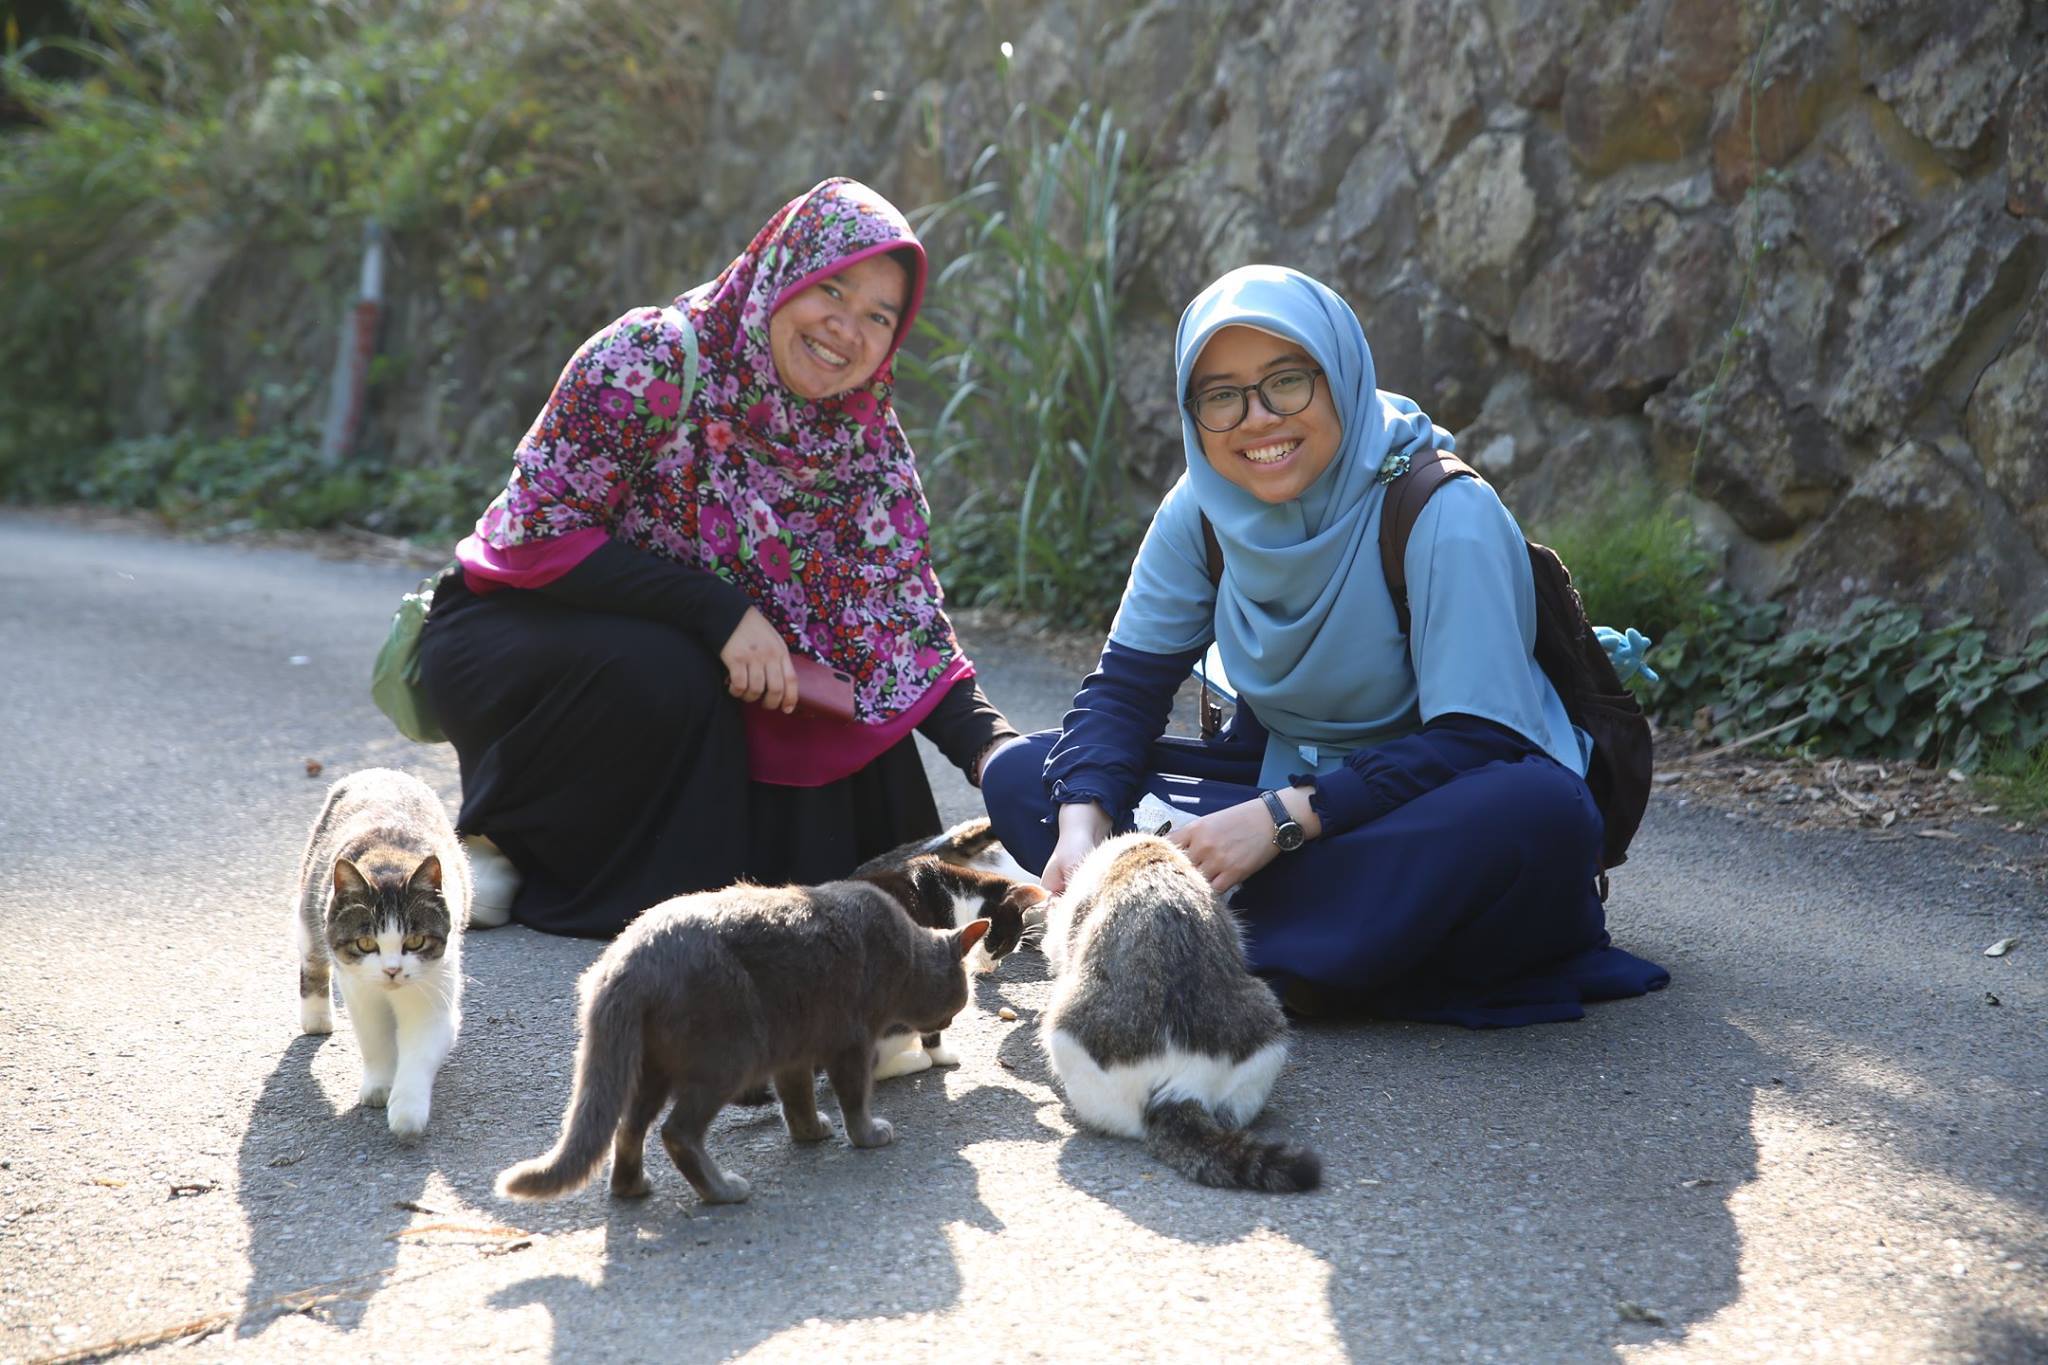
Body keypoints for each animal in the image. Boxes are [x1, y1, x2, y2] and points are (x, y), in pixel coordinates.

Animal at [292, 769, 468, 1146]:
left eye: (415, 941)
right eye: (365, 943)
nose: (391, 970)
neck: (389, 862)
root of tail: (380, 771)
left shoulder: (434, 987)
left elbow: (420, 1047)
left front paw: (406, 1112)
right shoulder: (360, 989)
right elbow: (373, 1037)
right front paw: (378, 1086)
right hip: (310, 897)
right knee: (312, 956)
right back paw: (316, 1016)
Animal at [503, 863, 999, 1203]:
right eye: (960, 999)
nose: (948, 1022)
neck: (906, 957)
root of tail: (627, 959)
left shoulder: (795, 1048)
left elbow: (797, 1098)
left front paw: (811, 1132)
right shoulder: (850, 1041)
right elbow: (854, 1097)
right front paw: (867, 1135)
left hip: (650, 1065)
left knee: (628, 1127)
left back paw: (633, 1186)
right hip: (729, 1055)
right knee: (677, 1132)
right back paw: (723, 1191)